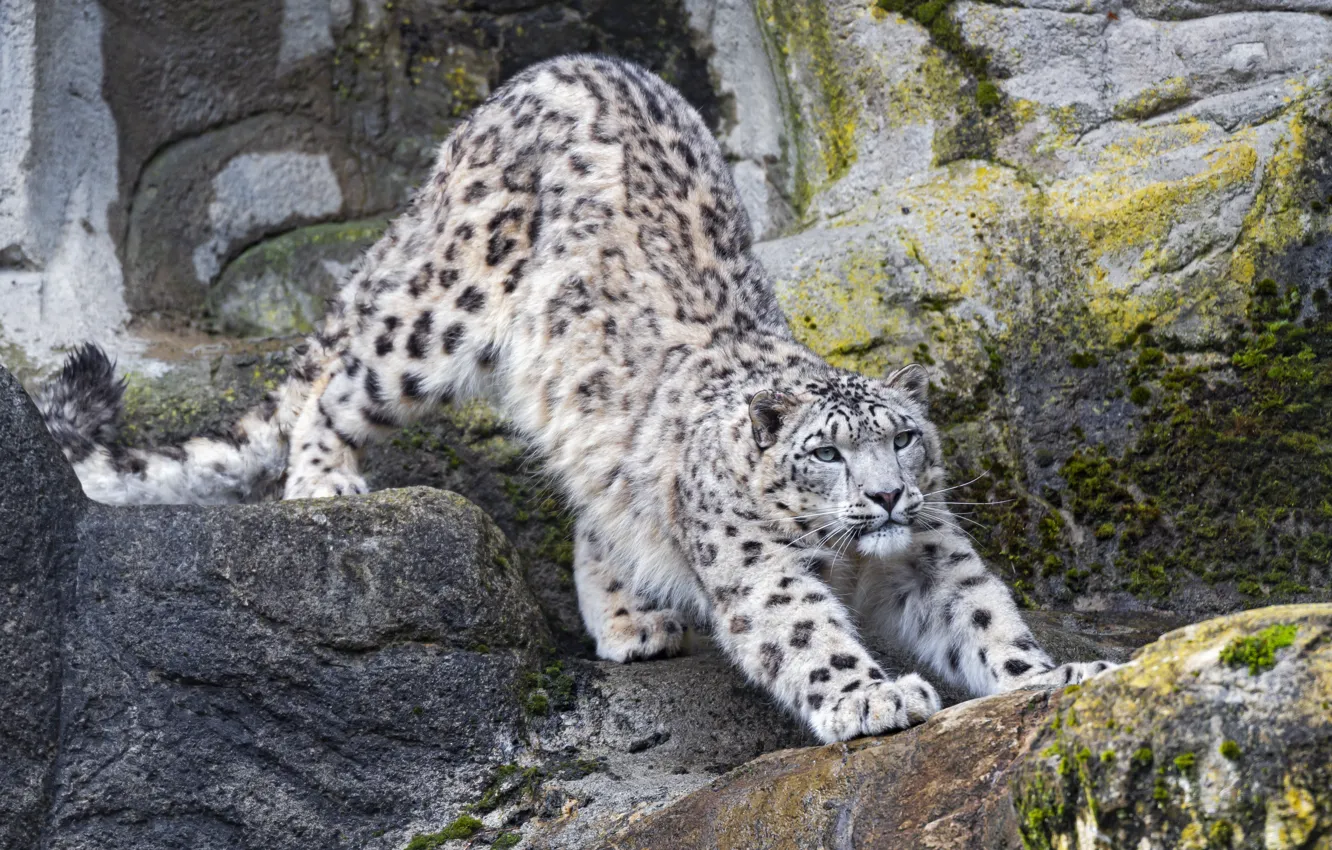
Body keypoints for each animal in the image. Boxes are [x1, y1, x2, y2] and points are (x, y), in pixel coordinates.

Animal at [37, 54, 1116, 742]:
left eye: (904, 439)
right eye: (825, 451)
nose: (887, 496)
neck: (863, 557)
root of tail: (537, 74)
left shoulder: (933, 554)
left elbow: (986, 620)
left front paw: (1062, 676)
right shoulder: (760, 564)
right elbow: (803, 629)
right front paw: (871, 699)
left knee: (598, 495)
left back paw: (630, 619)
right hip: (440, 309)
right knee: (342, 379)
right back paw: (323, 481)